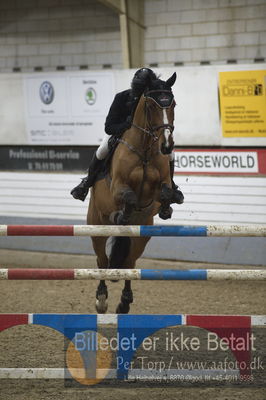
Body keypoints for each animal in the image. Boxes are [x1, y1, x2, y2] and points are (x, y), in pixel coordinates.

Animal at [88, 73, 178, 314]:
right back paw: (102, 299)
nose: (167, 145)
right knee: (101, 261)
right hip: (96, 225)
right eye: (151, 105)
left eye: (173, 104)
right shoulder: (118, 187)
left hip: (141, 236)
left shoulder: (160, 186)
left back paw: (124, 302)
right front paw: (122, 214)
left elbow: (166, 193)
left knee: (129, 263)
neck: (145, 150)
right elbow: (128, 197)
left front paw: (167, 208)